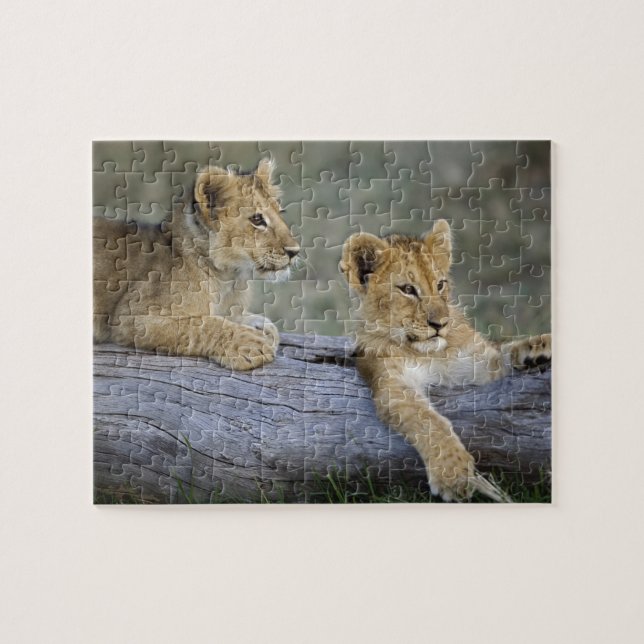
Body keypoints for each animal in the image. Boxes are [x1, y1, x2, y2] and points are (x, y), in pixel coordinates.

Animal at [93, 159, 300, 370]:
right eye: (257, 219)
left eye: (280, 212)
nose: (295, 251)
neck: (229, 277)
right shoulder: (132, 317)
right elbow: (201, 325)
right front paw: (248, 344)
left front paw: (261, 324)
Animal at [340, 219, 551, 502]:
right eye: (408, 290)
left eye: (440, 285)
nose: (440, 324)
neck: (431, 353)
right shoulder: (391, 382)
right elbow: (428, 420)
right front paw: (453, 474)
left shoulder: (475, 364)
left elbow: (504, 353)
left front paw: (541, 347)